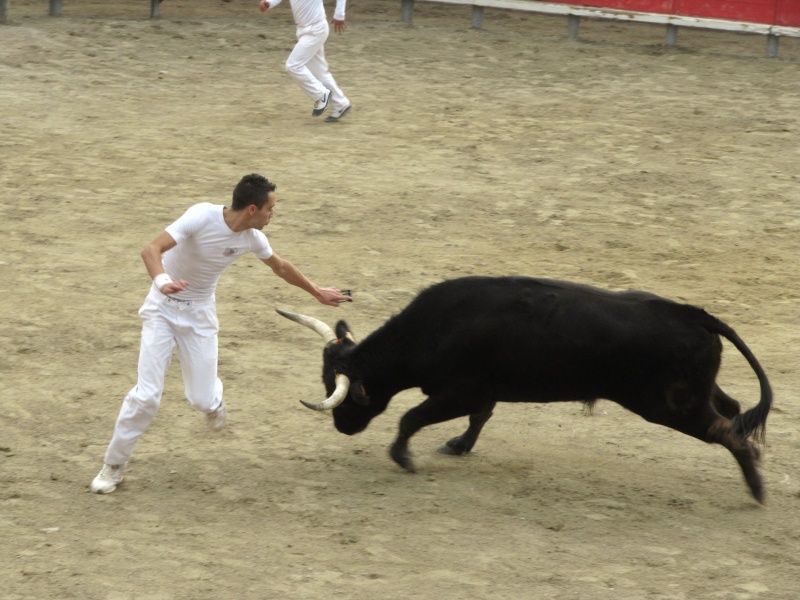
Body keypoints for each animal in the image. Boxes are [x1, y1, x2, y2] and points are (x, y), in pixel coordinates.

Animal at [278, 276, 772, 502]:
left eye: (347, 392)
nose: (342, 427)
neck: (431, 330)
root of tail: (695, 314)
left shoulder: (459, 391)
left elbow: (411, 416)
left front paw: (403, 458)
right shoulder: (484, 392)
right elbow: (479, 419)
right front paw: (457, 446)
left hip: (670, 405)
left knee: (728, 432)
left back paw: (756, 491)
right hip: (695, 393)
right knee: (734, 409)